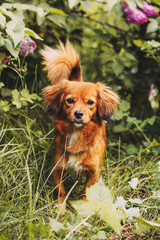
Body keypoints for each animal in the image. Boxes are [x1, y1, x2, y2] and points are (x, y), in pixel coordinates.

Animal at [41, 40, 119, 203]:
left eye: (90, 102)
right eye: (70, 100)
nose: (78, 114)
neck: (77, 134)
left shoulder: (94, 172)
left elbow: (87, 193)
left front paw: (85, 206)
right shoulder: (57, 168)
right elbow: (61, 191)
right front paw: (60, 207)